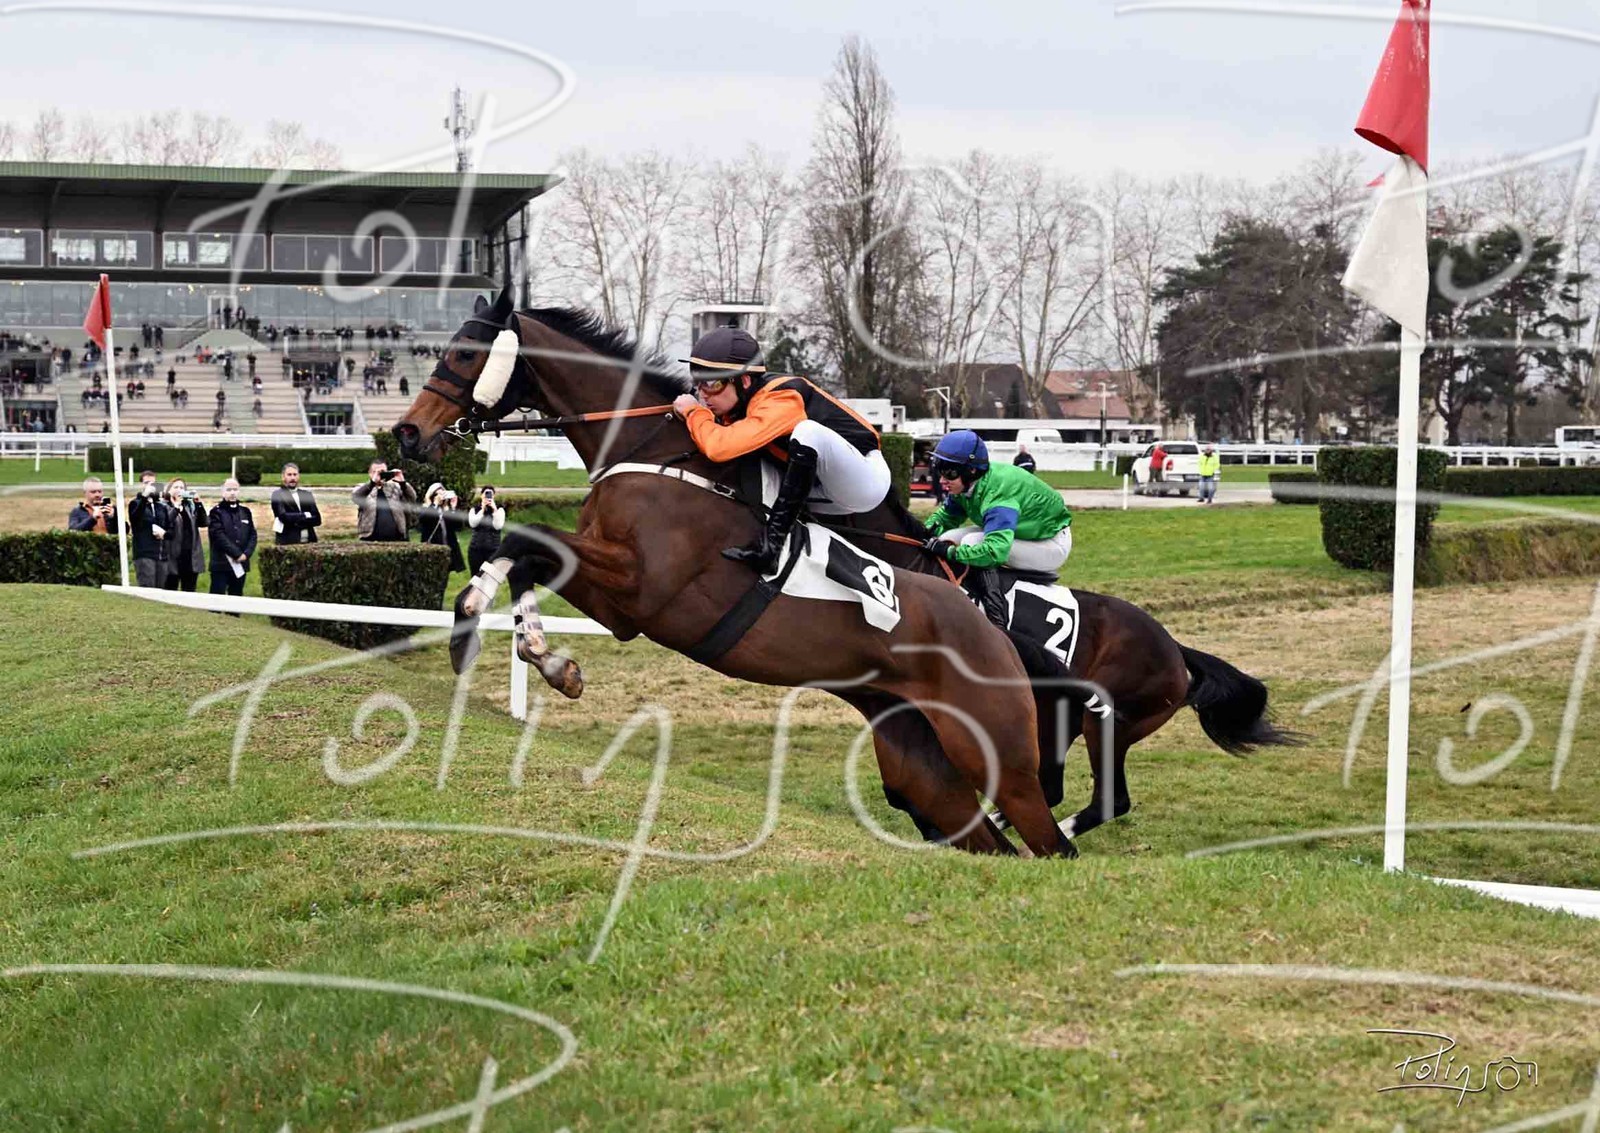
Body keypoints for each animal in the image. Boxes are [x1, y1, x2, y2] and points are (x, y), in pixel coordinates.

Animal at [393, 291, 1298, 851]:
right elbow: (516, 548)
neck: (657, 446)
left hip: (1050, 735)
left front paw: (507, 638)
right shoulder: (619, 593)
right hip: (923, 762)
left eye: (466, 352)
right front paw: (525, 646)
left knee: (1070, 811)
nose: (406, 434)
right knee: (989, 830)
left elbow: (519, 542)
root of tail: (1177, 649)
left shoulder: (641, 591)